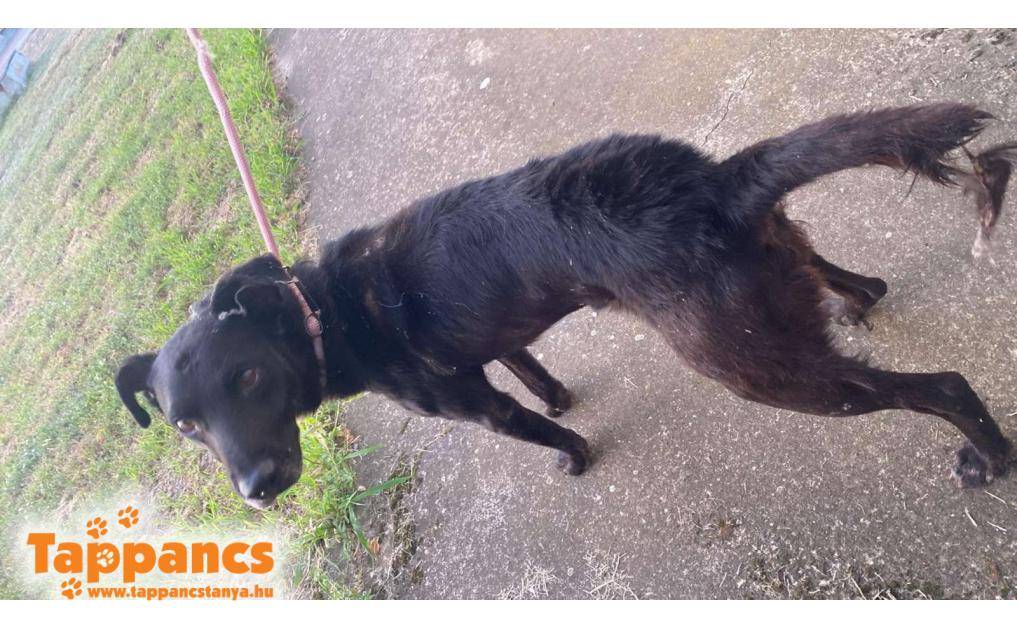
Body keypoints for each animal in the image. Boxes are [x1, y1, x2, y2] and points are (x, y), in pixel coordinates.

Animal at [116, 104, 1016, 509]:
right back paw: (857, 300)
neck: (319, 309)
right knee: (849, 279)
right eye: (185, 425)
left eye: (247, 379)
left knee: (941, 387)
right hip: (774, 275)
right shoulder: (492, 346)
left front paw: (572, 456)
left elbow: (536, 429)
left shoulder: (471, 405)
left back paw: (990, 458)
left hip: (763, 372)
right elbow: (530, 368)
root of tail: (713, 184)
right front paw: (558, 395)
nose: (256, 490)